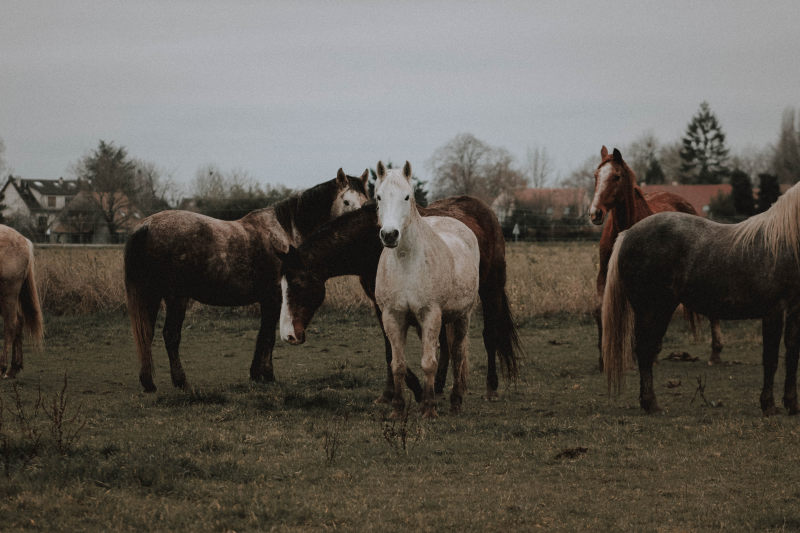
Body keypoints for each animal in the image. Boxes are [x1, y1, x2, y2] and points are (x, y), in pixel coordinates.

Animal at [0, 224, 43, 378]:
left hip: (7, 294)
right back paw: (14, 368)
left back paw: (3, 368)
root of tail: (24, 241)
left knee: (11, 325)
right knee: (18, 321)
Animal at [124, 169, 368, 390]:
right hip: (176, 298)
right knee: (171, 335)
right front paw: (266, 375)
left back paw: (148, 383)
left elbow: (263, 335)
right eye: (346, 201)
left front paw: (257, 375)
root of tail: (146, 226)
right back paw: (181, 382)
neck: (285, 233)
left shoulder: (268, 300)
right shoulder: (274, 299)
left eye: (367, 202)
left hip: (152, 295)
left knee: (147, 332)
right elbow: (268, 336)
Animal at [278, 194, 520, 400]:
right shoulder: (380, 304)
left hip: (491, 288)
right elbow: (390, 350)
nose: (289, 335)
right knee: (445, 344)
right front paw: (391, 394)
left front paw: (417, 391)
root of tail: (485, 210)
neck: (371, 243)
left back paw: (491, 388)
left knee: (490, 335)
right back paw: (438, 386)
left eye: (298, 284)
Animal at [376, 160, 482, 418]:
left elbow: (428, 362)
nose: (389, 235)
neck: (407, 262)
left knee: (457, 354)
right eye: (378, 197)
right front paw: (397, 408)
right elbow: (398, 365)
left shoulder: (430, 314)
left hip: (463, 316)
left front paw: (429, 409)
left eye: (407, 197)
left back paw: (455, 401)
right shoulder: (392, 316)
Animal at [600, 183, 800, 416]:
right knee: (645, 350)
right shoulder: (773, 311)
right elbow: (771, 358)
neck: (782, 241)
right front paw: (768, 405)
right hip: (653, 309)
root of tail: (627, 234)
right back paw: (652, 404)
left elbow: (792, 354)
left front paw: (792, 404)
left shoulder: (794, 310)